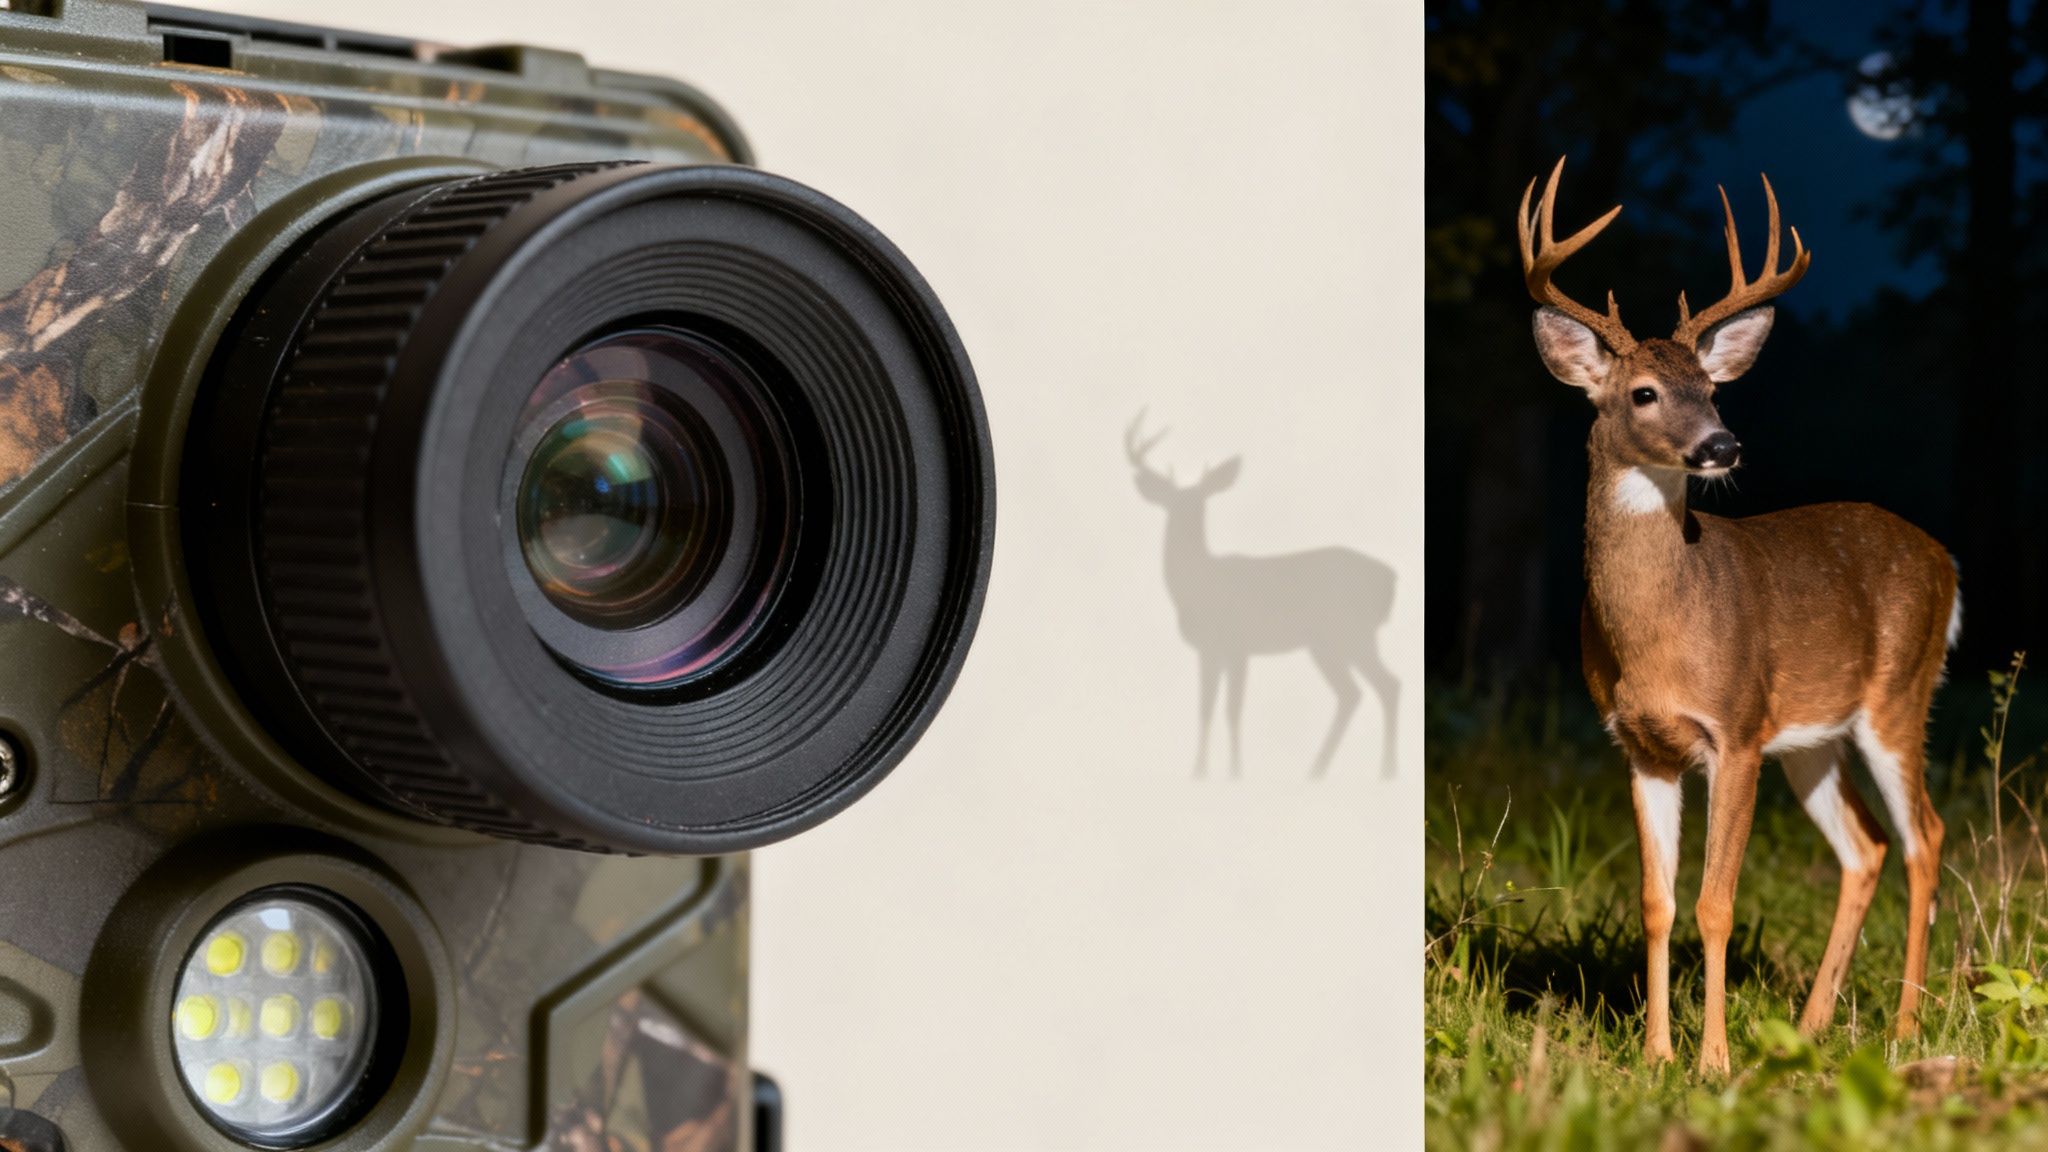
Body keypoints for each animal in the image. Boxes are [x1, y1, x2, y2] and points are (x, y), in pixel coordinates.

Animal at [1126, 414, 1399, 778]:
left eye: (1201, 504)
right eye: (1172, 502)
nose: (1185, 519)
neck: (1198, 585)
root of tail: (1390, 577)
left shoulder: (1237, 645)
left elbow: (1232, 709)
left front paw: (1235, 774)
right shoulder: (1209, 650)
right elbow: (1205, 708)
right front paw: (1199, 773)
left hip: (1350, 632)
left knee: (1387, 686)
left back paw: (1384, 772)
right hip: (1327, 643)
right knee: (1354, 694)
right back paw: (1318, 771)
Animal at [1519, 157, 1960, 1075]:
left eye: (1714, 388)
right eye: (1645, 392)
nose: (1722, 446)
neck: (1657, 636)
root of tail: (1946, 560)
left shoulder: (1737, 729)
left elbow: (1715, 903)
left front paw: (1712, 1062)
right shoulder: (1641, 745)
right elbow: (1656, 901)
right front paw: (1656, 1057)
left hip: (1899, 696)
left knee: (1925, 837)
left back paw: (1904, 1027)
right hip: (1814, 737)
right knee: (1865, 846)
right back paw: (1814, 1025)